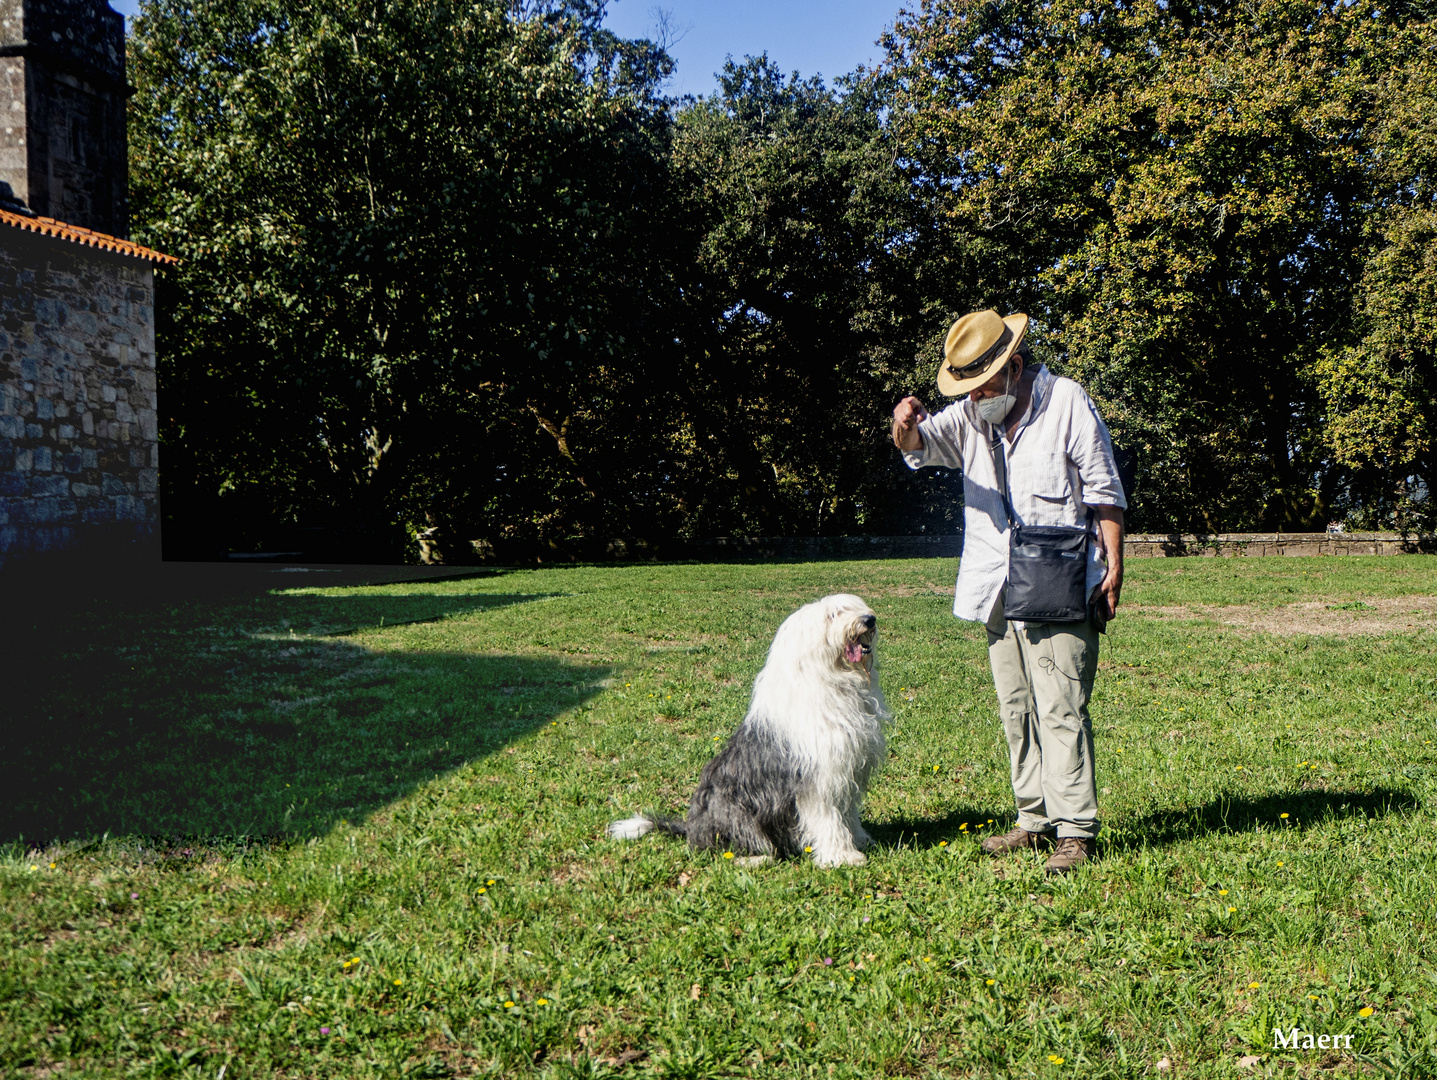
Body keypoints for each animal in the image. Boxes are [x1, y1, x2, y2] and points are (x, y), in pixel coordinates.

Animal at [606, 594, 885, 867]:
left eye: (853, 607)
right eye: (833, 615)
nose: (869, 620)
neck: (835, 680)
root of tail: (691, 829)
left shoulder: (849, 772)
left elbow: (848, 814)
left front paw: (860, 841)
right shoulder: (817, 780)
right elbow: (829, 820)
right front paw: (842, 857)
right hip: (737, 811)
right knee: (724, 852)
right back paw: (757, 859)